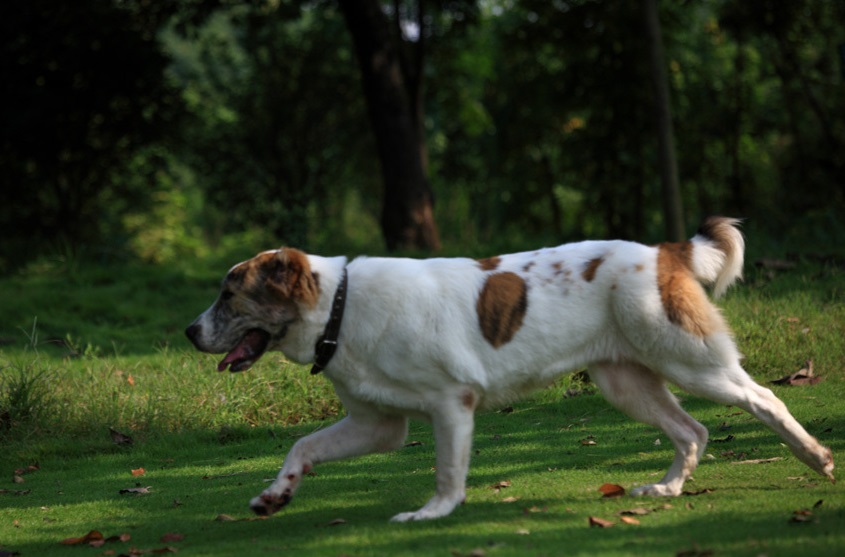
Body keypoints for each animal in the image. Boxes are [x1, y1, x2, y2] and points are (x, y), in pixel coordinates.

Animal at [185, 215, 832, 520]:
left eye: (229, 294)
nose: (189, 332)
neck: (341, 303)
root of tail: (663, 252)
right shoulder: (378, 425)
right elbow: (303, 447)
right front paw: (275, 495)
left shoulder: (451, 405)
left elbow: (448, 472)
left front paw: (432, 514)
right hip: (626, 383)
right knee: (692, 430)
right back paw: (668, 488)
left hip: (691, 362)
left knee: (763, 399)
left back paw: (816, 458)